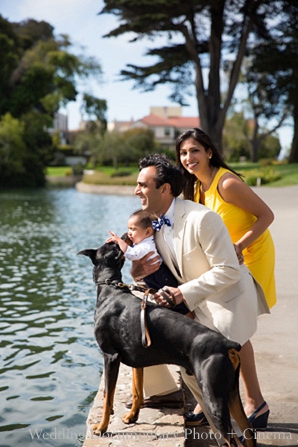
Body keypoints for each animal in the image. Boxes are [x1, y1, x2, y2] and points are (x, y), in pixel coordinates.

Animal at [78, 240, 255, 446]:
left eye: (111, 244)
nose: (123, 239)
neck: (111, 289)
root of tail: (227, 344)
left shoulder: (110, 356)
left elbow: (108, 396)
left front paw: (101, 427)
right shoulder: (137, 359)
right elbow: (137, 390)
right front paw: (132, 417)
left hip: (213, 397)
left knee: (231, 439)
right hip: (232, 393)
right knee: (248, 433)